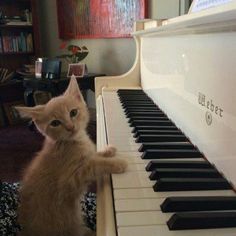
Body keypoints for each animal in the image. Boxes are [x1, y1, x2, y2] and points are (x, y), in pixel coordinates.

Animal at [15, 76, 127, 235]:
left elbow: (93, 155)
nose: (70, 127)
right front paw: (117, 163)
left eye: (73, 112)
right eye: (55, 123)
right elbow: (94, 164)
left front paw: (107, 150)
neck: (74, 141)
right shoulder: (70, 181)